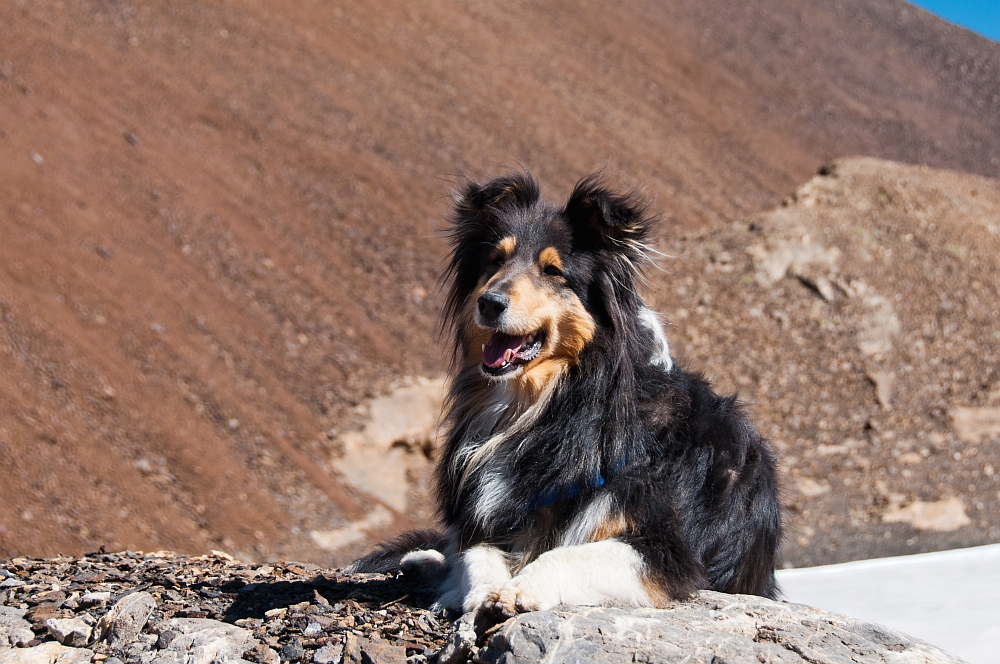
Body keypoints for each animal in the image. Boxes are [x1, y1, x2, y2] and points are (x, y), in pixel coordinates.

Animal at [352, 172, 780, 616]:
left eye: (553, 271)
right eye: (495, 260)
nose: (489, 303)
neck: (554, 403)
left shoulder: (667, 549)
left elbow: (570, 554)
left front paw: (522, 587)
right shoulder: (484, 517)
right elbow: (475, 553)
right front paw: (483, 589)